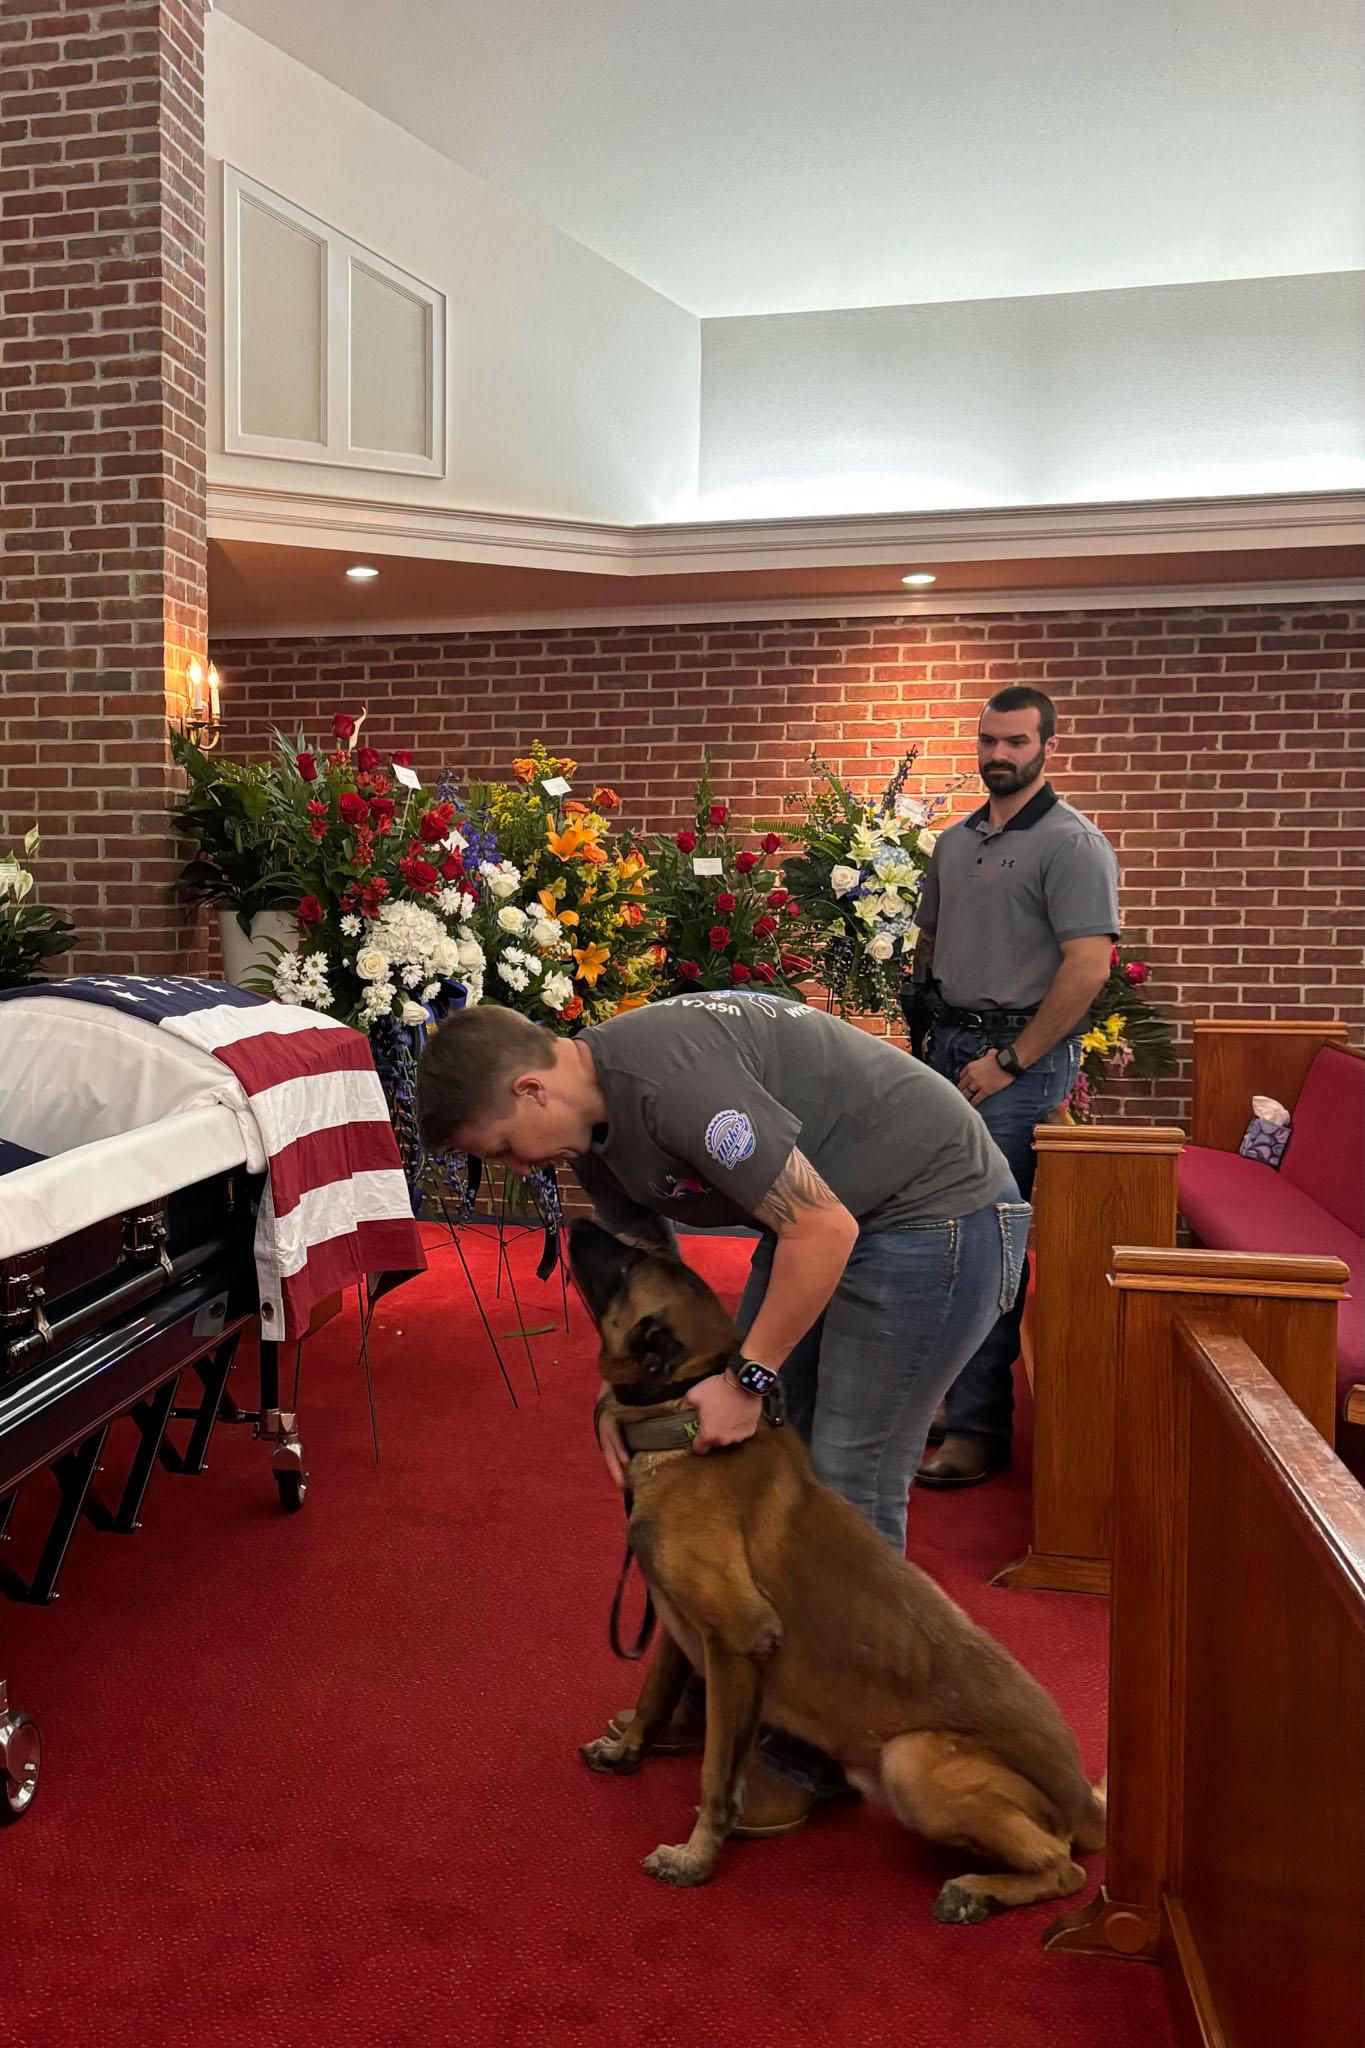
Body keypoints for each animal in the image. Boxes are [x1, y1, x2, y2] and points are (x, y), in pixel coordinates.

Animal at [573, 1212, 1105, 1916]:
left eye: (628, 1267)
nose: (577, 1218)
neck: (682, 1421)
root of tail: (1086, 1804)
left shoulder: (737, 1640)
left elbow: (717, 1775)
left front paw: (695, 1857)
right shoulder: (679, 1628)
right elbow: (653, 1695)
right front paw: (629, 1750)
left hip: (914, 1761)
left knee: (1064, 1868)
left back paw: (978, 1891)